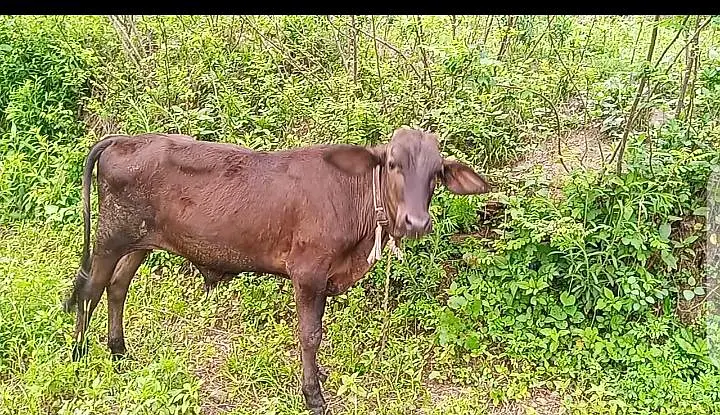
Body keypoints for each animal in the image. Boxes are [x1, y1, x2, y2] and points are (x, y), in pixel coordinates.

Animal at [63, 127, 491, 414]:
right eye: (392, 164)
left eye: (436, 173)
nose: (415, 222)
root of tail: (123, 138)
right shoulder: (309, 272)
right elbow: (310, 335)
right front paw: (313, 395)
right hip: (110, 236)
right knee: (91, 287)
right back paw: (79, 353)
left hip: (140, 241)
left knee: (118, 286)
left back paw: (119, 351)